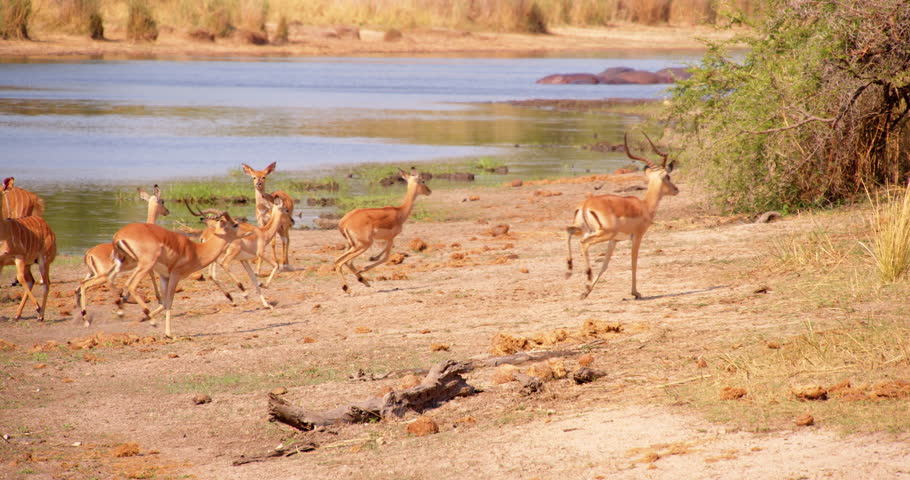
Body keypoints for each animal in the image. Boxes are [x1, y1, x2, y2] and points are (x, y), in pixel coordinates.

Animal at [0, 187, 56, 320]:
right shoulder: (1, 261)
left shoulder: (19, 257)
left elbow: (20, 278)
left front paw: (38, 307)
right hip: (28, 263)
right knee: (31, 280)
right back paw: (17, 314)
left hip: (43, 260)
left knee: (45, 283)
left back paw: (40, 314)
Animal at [75, 185, 170, 325]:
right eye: (162, 201)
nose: (167, 211)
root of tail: (89, 253)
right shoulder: (148, 265)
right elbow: (150, 278)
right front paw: (158, 300)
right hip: (102, 275)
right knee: (87, 285)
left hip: (92, 273)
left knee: (79, 286)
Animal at [104, 211, 245, 338]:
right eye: (235, 224)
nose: (247, 231)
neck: (196, 251)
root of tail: (119, 235)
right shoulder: (175, 275)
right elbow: (169, 303)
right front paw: (169, 334)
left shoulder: (164, 276)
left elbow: (164, 303)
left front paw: (142, 319)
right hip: (144, 265)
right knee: (131, 285)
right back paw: (152, 322)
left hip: (127, 263)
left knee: (112, 278)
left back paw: (123, 312)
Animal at [566, 132, 679, 300]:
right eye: (668, 177)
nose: (676, 189)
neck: (644, 206)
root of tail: (586, 204)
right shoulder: (637, 236)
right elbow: (634, 262)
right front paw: (636, 292)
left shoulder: (614, 240)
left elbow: (605, 264)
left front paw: (586, 292)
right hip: (601, 233)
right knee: (583, 243)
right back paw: (586, 278)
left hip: (586, 230)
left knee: (569, 232)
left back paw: (570, 273)